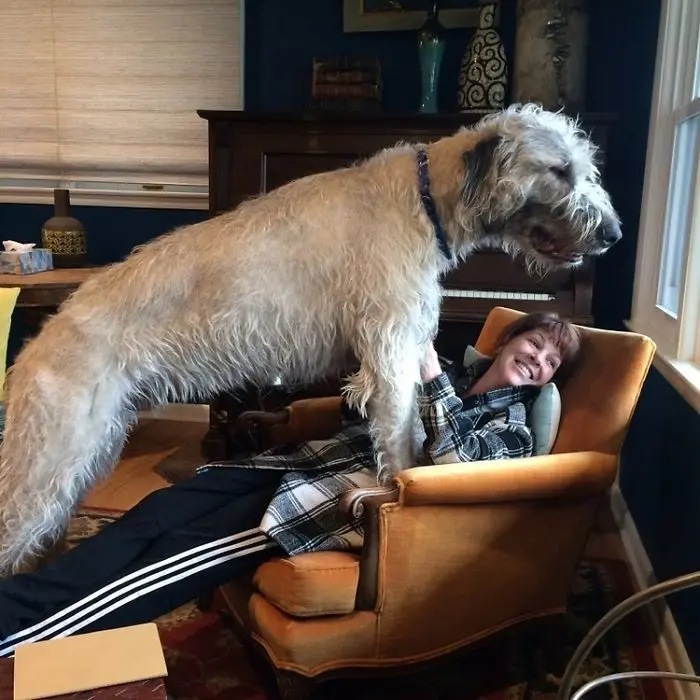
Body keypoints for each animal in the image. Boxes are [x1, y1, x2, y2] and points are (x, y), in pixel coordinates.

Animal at [0, 104, 624, 576]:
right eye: (560, 169)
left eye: (585, 166)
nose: (615, 234)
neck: (427, 200)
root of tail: (38, 344)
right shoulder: (390, 353)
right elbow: (400, 444)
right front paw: (389, 496)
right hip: (51, 459)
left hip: (87, 451)